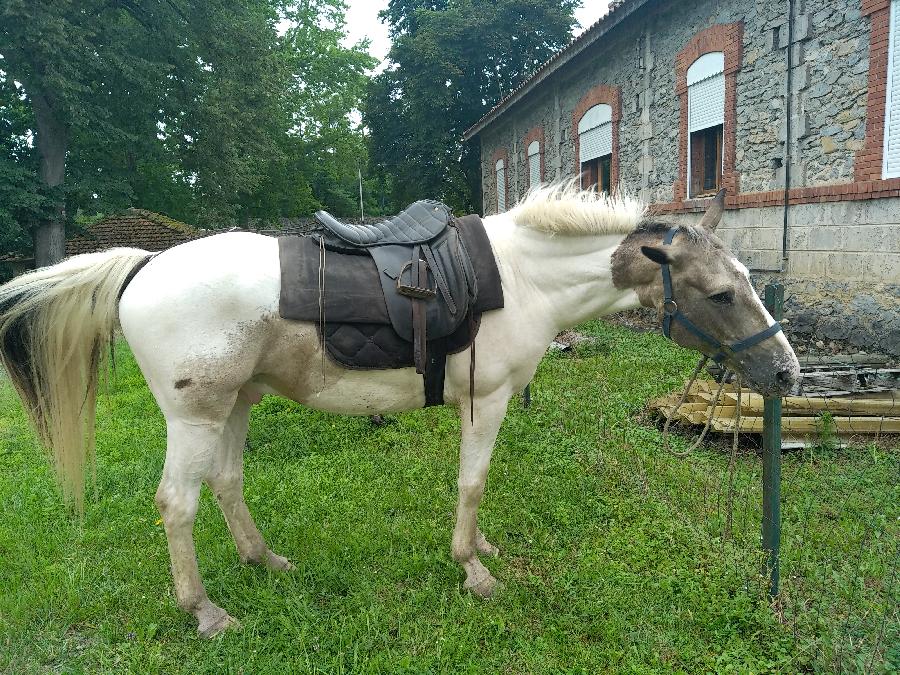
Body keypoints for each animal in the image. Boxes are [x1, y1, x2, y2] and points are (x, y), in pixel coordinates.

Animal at [0, 184, 800, 632]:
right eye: (721, 294)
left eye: (748, 280)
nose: (786, 370)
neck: (525, 277)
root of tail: (143, 265)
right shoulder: (486, 399)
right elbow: (472, 483)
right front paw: (473, 569)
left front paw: (480, 551)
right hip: (195, 418)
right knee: (177, 504)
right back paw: (203, 611)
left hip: (235, 404)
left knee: (226, 484)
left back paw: (264, 559)